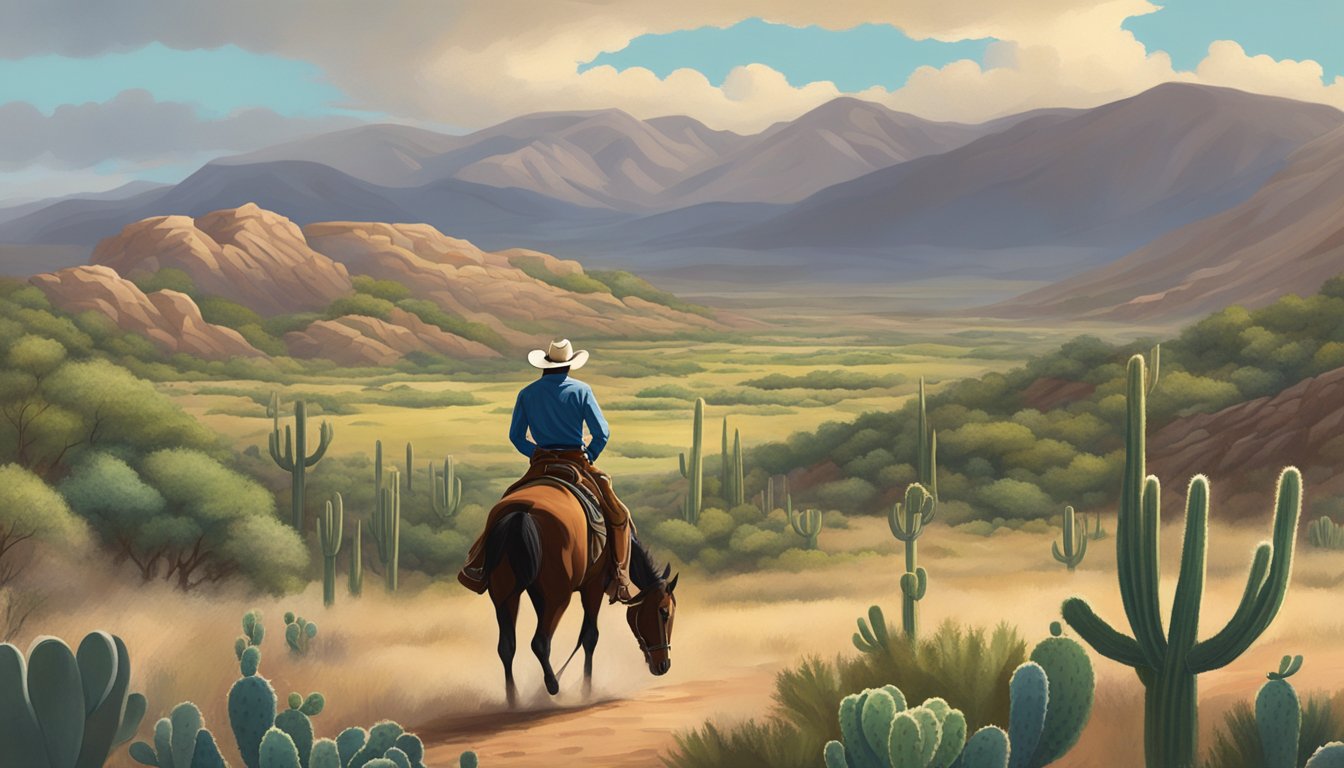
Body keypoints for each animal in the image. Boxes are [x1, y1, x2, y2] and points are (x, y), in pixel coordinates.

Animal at [478, 484, 677, 704]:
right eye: (664, 612)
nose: (664, 665)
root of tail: (521, 514)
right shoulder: (593, 587)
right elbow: (590, 637)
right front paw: (586, 691)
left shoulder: (538, 596)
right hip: (557, 599)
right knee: (540, 642)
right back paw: (553, 686)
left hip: (505, 598)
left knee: (507, 647)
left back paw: (514, 700)